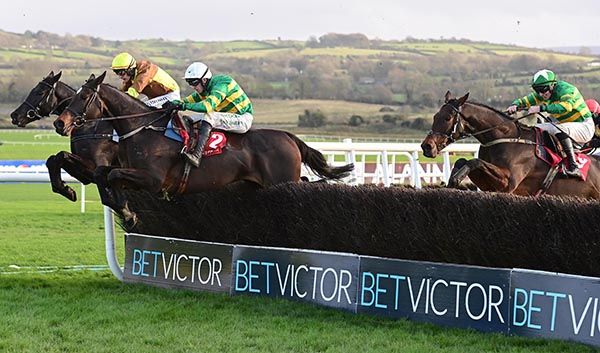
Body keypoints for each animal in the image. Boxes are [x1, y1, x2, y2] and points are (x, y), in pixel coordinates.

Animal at [10, 71, 118, 201]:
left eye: (40, 92)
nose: (14, 115)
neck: (91, 127)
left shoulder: (98, 167)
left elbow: (61, 155)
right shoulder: (87, 176)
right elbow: (53, 159)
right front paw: (64, 189)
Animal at [54, 72, 354, 224]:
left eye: (84, 96)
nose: (60, 122)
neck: (142, 129)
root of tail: (289, 137)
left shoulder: (152, 179)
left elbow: (111, 176)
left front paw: (127, 213)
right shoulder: (124, 171)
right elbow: (101, 175)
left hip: (281, 181)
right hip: (259, 184)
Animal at [420, 91, 600, 198]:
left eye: (448, 118)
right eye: (435, 116)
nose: (426, 146)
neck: (507, 138)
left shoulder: (507, 183)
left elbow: (475, 161)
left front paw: (457, 177)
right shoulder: (488, 186)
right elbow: (463, 160)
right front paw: (452, 178)